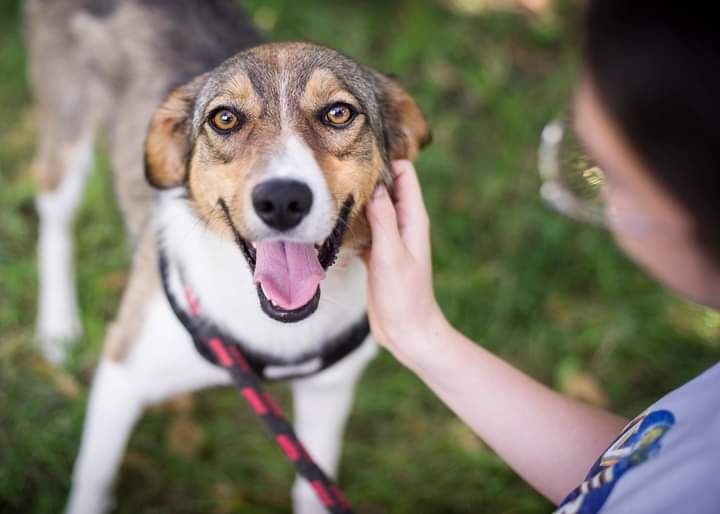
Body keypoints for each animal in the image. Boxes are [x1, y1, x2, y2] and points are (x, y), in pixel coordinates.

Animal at [28, 1, 430, 512]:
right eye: (224, 119)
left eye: (339, 113)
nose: (282, 200)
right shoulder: (121, 375)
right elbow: (93, 479)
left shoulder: (329, 389)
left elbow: (312, 486)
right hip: (68, 121)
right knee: (54, 218)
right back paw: (57, 327)